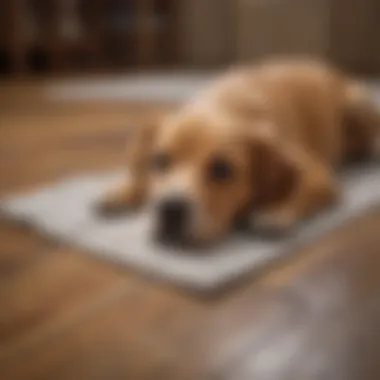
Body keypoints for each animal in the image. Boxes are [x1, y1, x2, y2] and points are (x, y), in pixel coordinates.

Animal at [96, 58, 378, 246]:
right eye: (160, 160)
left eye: (222, 169)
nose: (171, 209)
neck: (223, 104)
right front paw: (123, 191)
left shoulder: (319, 174)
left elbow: (302, 188)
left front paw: (277, 211)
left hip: (357, 102)